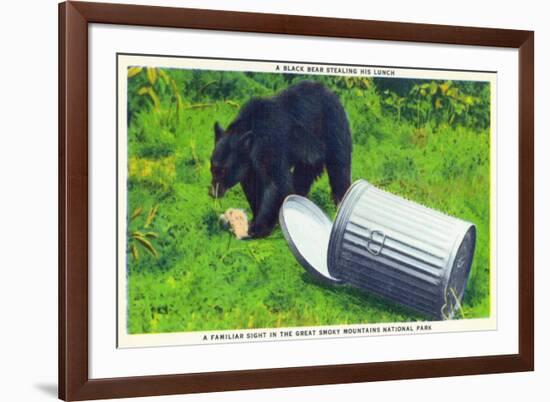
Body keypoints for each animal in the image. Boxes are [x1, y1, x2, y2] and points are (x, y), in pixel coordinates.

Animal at [211, 80, 354, 237]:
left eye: (223, 171)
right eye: (212, 168)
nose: (213, 192)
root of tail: (332, 94)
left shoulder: (270, 142)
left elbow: (277, 182)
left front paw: (257, 228)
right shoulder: (250, 165)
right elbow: (253, 185)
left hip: (333, 131)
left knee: (339, 169)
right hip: (310, 155)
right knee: (302, 176)